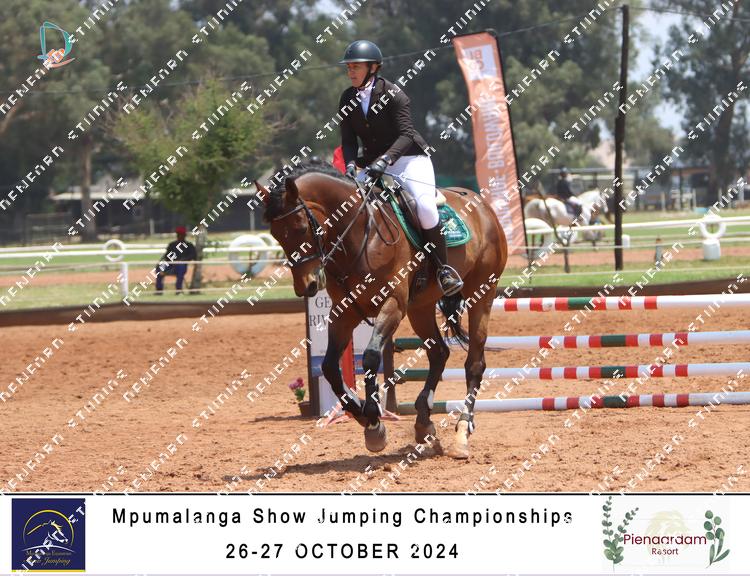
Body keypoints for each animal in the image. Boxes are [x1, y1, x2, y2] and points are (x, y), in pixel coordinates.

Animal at [257, 161, 507, 459]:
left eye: (300, 227)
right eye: (275, 234)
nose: (306, 286)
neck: (359, 236)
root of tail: (482, 205)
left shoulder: (393, 305)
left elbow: (370, 357)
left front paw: (374, 423)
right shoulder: (345, 312)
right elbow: (329, 367)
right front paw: (360, 413)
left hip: (482, 294)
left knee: (475, 363)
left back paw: (461, 432)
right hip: (421, 308)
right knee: (439, 353)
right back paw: (423, 423)